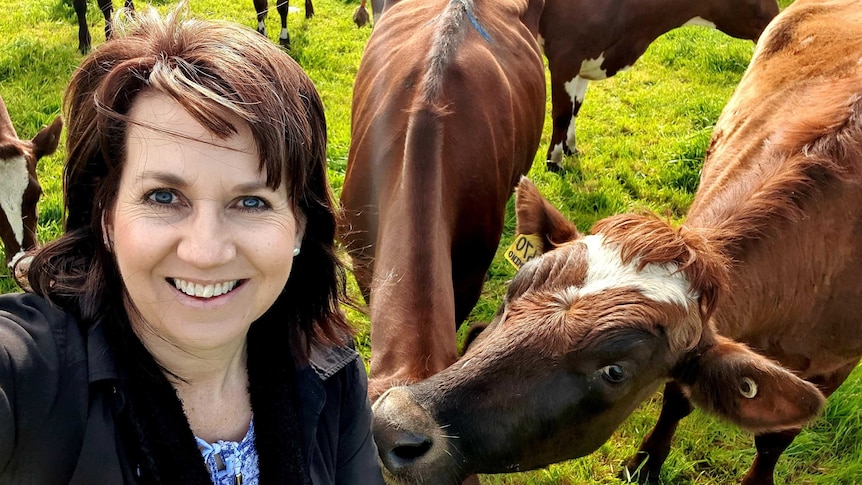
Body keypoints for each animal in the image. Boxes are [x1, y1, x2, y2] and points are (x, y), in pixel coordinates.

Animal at [544, 0, 780, 172]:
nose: (777, 18)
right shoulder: (566, 57)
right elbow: (562, 113)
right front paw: (554, 162)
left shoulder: (587, 59)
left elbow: (575, 108)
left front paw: (570, 147)